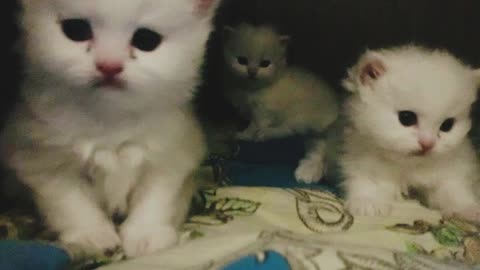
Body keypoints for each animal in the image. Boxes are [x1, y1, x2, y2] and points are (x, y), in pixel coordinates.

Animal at [0, 0, 219, 258]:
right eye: (76, 30)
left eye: (146, 39)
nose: (109, 66)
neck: (110, 119)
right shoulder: (40, 161)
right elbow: (71, 203)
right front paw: (91, 235)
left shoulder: (173, 154)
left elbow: (155, 198)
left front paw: (145, 234)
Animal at [223, 23, 340, 184]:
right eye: (242, 61)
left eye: (265, 64)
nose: (252, 72)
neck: (253, 88)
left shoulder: (262, 112)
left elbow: (254, 125)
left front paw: (244, 135)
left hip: (299, 116)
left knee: (288, 131)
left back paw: (264, 135)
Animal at [344, 44, 480, 221]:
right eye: (406, 118)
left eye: (447, 125)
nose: (427, 144)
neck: (410, 166)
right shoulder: (360, 160)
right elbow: (366, 182)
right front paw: (367, 203)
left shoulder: (453, 171)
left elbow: (455, 191)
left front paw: (469, 209)